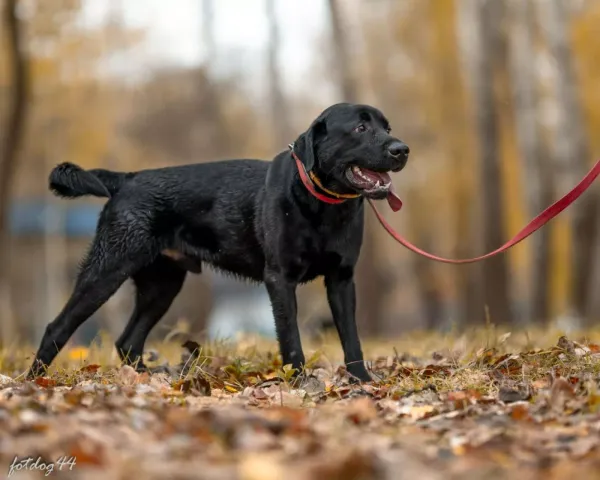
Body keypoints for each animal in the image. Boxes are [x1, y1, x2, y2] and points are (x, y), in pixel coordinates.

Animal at [24, 103, 408, 380]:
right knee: (57, 327)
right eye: (360, 128)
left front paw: (362, 383)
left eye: (387, 128)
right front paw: (299, 384)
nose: (402, 149)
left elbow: (352, 340)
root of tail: (128, 178)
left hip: (161, 285)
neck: (322, 205)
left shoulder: (341, 280)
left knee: (127, 342)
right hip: (106, 270)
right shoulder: (279, 280)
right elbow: (291, 340)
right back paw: (33, 382)